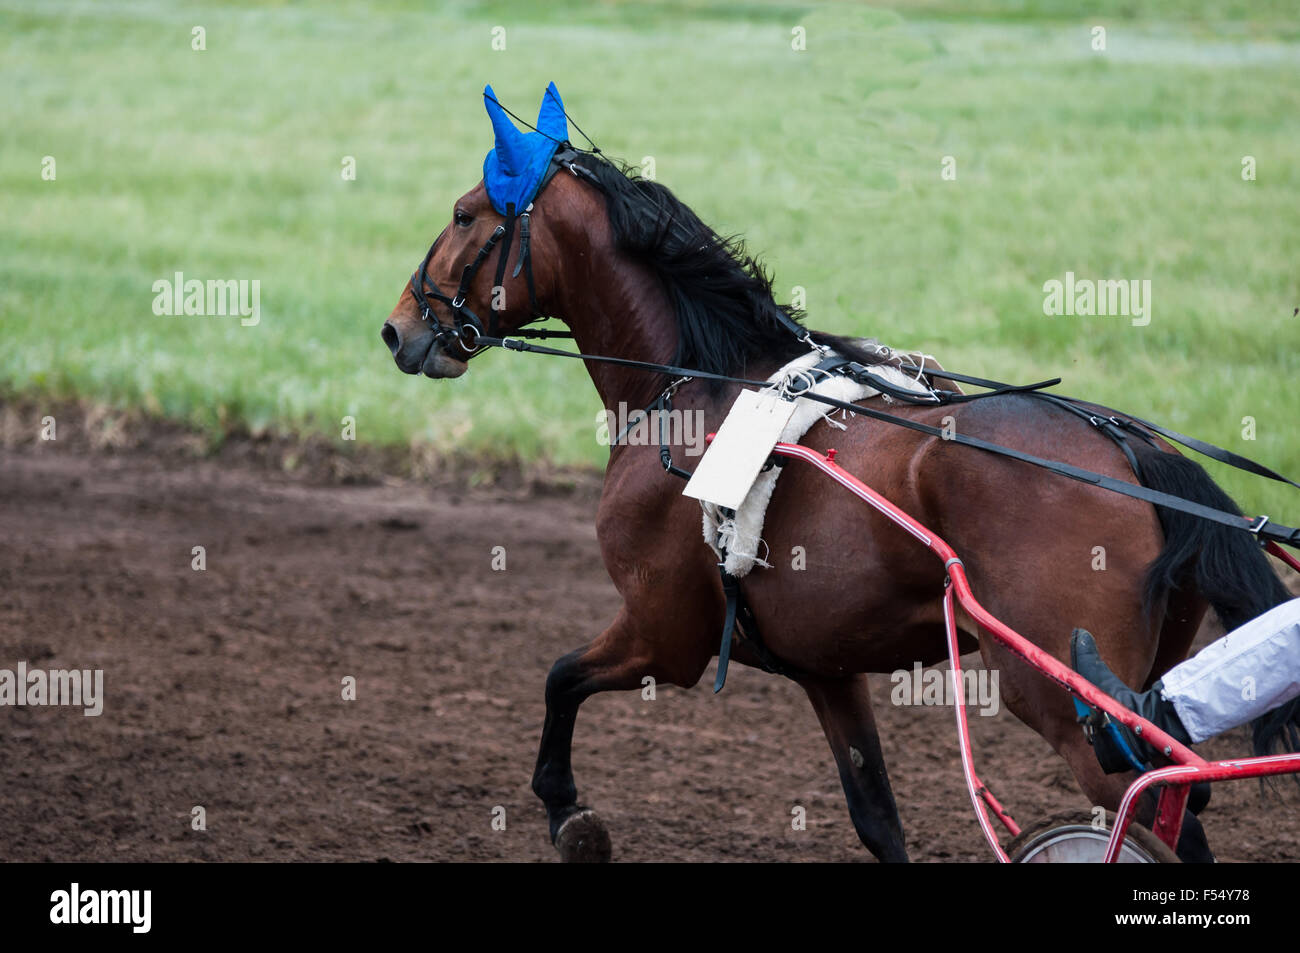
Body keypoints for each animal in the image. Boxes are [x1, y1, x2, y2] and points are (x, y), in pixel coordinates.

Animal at [381, 101, 1294, 863]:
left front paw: (569, 812)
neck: (693, 386)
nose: (398, 327)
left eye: (464, 214)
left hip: (1057, 693)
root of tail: (1127, 448)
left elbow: (559, 676)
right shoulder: (827, 668)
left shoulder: (663, 633)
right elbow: (876, 816)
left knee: (1142, 797)